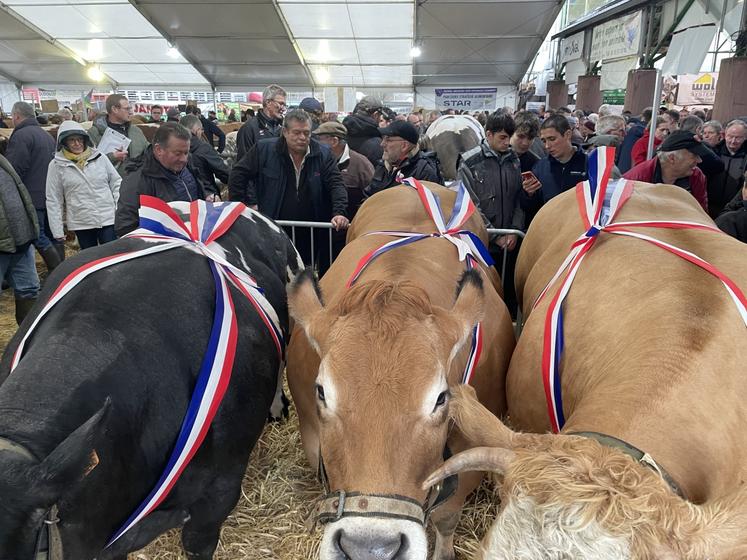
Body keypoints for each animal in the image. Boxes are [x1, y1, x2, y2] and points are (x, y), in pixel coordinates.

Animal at [284, 184, 516, 560]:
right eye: (321, 391)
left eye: (441, 398)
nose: (369, 549)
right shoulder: (311, 433)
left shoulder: (473, 452)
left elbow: (447, 515)